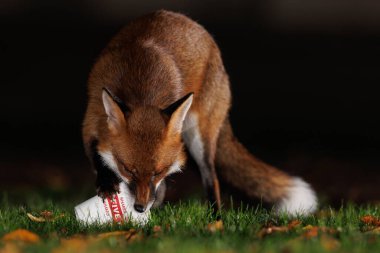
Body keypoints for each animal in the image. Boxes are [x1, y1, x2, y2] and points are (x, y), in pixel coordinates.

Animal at [83, 10, 318, 215]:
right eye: (128, 169)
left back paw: (216, 220)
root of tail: (196, 26)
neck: (140, 85)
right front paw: (106, 182)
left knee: (211, 178)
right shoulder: (91, 117)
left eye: (158, 171)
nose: (140, 208)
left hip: (200, 139)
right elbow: (96, 150)